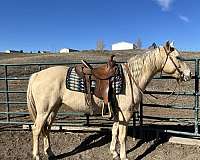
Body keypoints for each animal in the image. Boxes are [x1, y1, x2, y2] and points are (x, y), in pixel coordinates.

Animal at [27, 41, 191, 159]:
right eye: (178, 57)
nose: (189, 74)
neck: (131, 78)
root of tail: (36, 75)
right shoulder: (125, 114)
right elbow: (122, 135)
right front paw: (124, 156)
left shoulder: (117, 113)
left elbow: (114, 131)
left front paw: (114, 152)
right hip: (44, 111)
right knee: (36, 129)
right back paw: (37, 156)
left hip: (53, 109)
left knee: (46, 128)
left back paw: (50, 153)